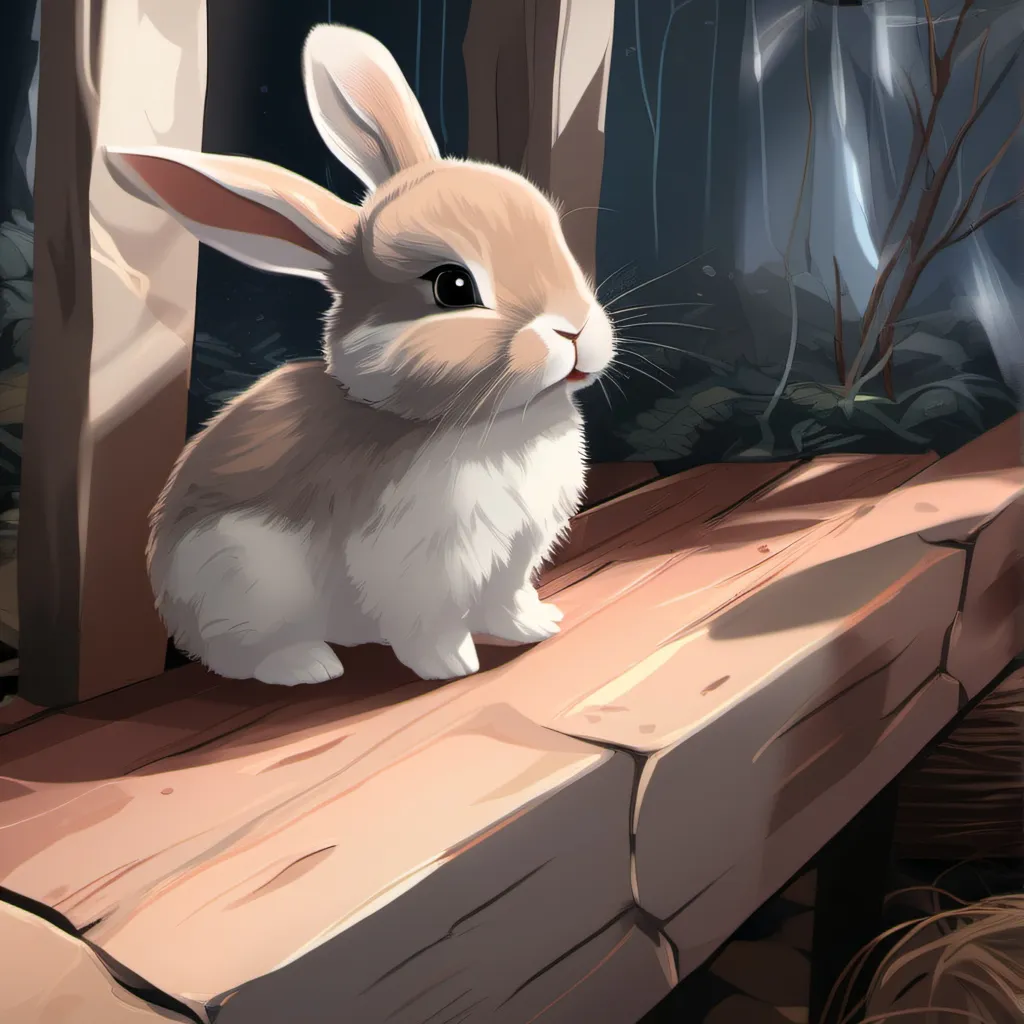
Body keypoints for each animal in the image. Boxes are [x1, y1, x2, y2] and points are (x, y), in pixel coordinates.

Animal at [102, 23, 615, 686]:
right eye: (453, 287)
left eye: (554, 234)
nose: (575, 332)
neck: (492, 421)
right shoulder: (419, 570)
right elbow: (430, 626)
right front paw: (452, 666)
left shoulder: (511, 559)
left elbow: (507, 601)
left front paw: (536, 628)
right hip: (241, 581)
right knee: (235, 655)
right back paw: (308, 665)